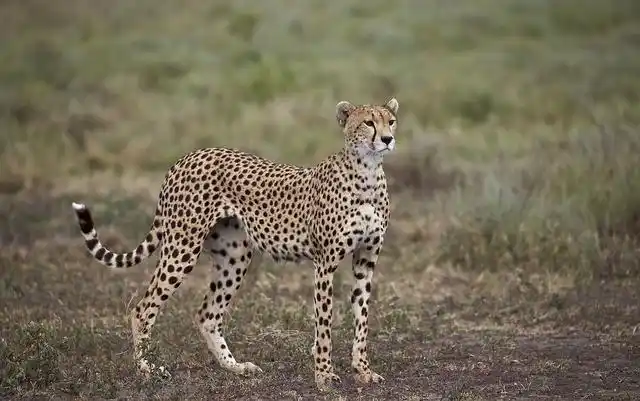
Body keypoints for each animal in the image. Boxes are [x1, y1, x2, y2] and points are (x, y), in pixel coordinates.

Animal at [71, 97, 399, 391]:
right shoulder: (324, 264)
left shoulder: (366, 261)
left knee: (207, 314)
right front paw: (324, 376)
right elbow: (324, 325)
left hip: (234, 255)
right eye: (368, 122)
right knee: (143, 309)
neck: (368, 174)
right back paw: (146, 369)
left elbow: (362, 319)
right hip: (182, 247)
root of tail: (188, 156)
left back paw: (235, 367)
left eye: (391, 121)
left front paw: (363, 371)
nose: (388, 139)